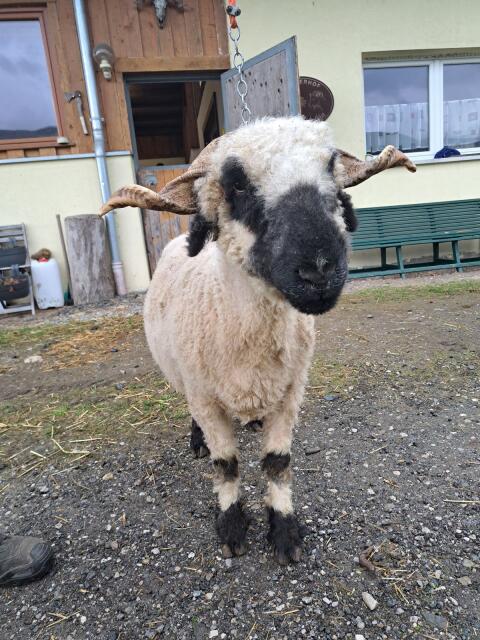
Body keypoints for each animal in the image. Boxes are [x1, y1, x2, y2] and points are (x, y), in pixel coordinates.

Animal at [101, 116, 415, 564]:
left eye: (331, 167)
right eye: (235, 183)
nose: (320, 270)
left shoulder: (289, 392)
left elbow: (277, 463)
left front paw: (284, 532)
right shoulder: (206, 397)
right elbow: (226, 465)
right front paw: (232, 528)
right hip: (184, 379)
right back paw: (197, 440)